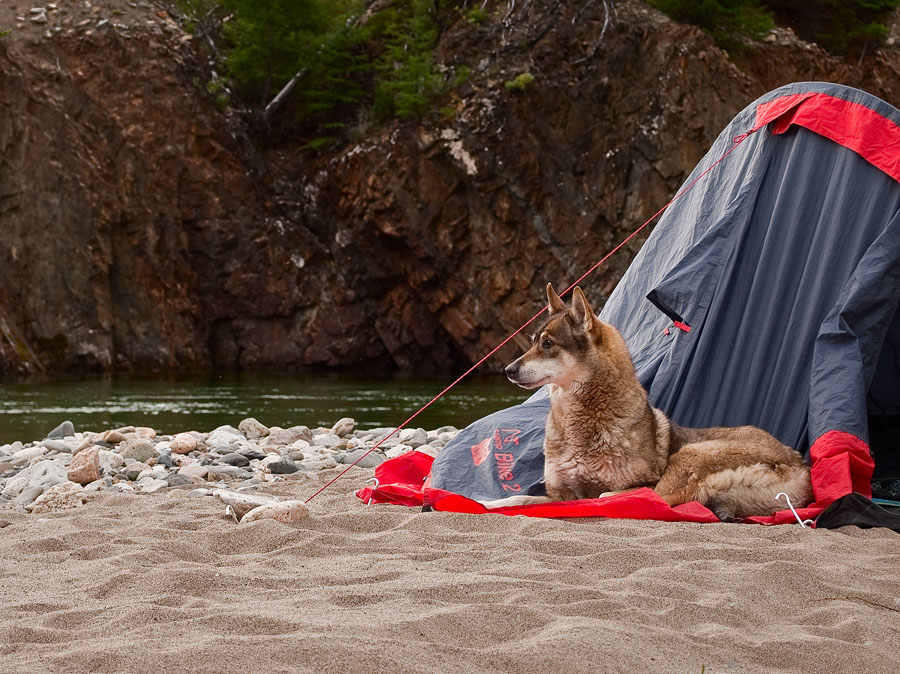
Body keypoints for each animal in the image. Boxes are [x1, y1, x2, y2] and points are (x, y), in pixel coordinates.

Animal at [484, 283, 812, 519]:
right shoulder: (559, 494)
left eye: (548, 344)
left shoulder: (635, 482)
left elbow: (611, 493)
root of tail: (801, 465)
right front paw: (488, 503)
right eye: (532, 343)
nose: (508, 370)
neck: (580, 418)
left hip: (689, 455)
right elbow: (518, 497)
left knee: (648, 498)